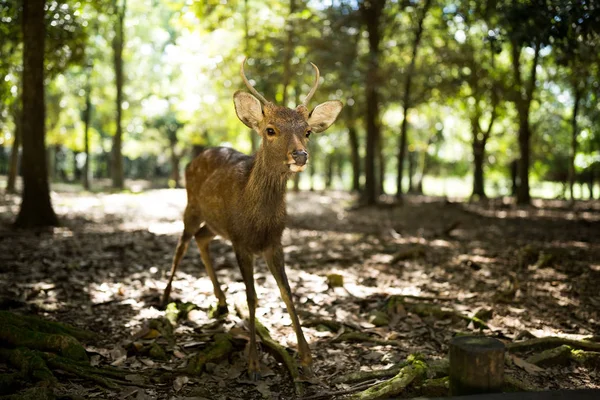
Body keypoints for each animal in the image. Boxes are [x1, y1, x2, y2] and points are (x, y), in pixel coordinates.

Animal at [162, 57, 344, 378]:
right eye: (270, 130)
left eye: (308, 131)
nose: (300, 155)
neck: (258, 222)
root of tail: (194, 159)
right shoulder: (241, 242)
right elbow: (251, 296)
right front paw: (253, 362)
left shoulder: (274, 242)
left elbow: (286, 293)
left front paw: (306, 356)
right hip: (192, 206)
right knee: (182, 243)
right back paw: (163, 299)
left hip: (216, 224)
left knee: (201, 238)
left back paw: (221, 302)